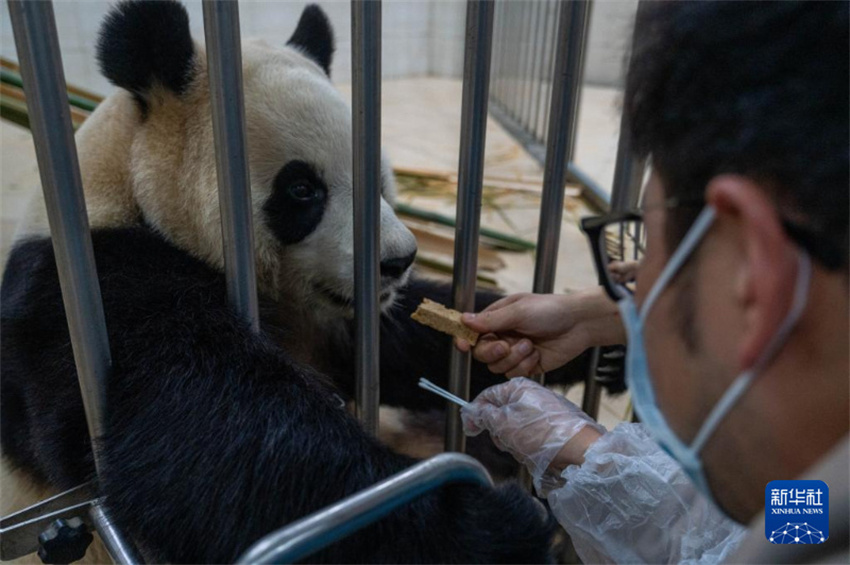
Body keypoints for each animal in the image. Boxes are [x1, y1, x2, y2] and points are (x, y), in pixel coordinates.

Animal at [1, 2, 564, 560]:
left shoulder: (333, 315)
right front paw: (484, 523)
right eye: (301, 189)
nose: (398, 260)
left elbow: (403, 341)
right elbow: (210, 436)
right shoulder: (95, 294)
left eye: (381, 179)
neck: (123, 190)